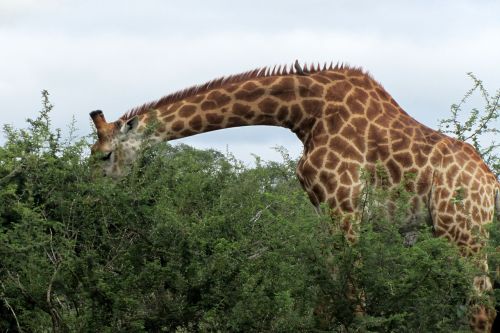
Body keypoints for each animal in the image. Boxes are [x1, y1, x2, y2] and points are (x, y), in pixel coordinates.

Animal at [90, 60, 500, 330]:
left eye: (104, 155)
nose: (90, 196)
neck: (304, 112)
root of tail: (491, 184)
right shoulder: (324, 211)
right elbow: (324, 302)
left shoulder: (345, 206)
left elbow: (355, 300)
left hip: (461, 230)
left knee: (481, 307)